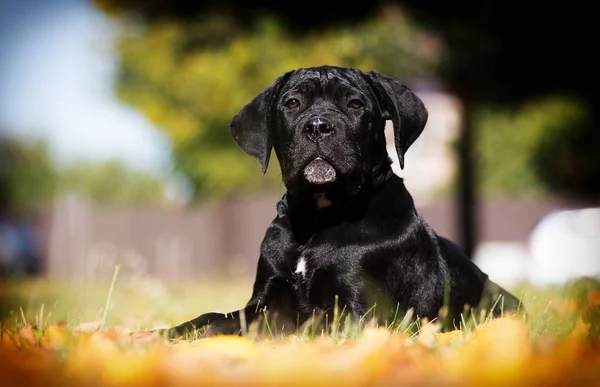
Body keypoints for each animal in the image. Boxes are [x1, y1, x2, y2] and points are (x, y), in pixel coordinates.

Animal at [168, 65, 520, 338]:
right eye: (292, 103)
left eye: (355, 104)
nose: (318, 126)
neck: (318, 218)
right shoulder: (266, 297)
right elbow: (216, 316)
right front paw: (168, 333)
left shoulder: (361, 311)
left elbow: (298, 327)